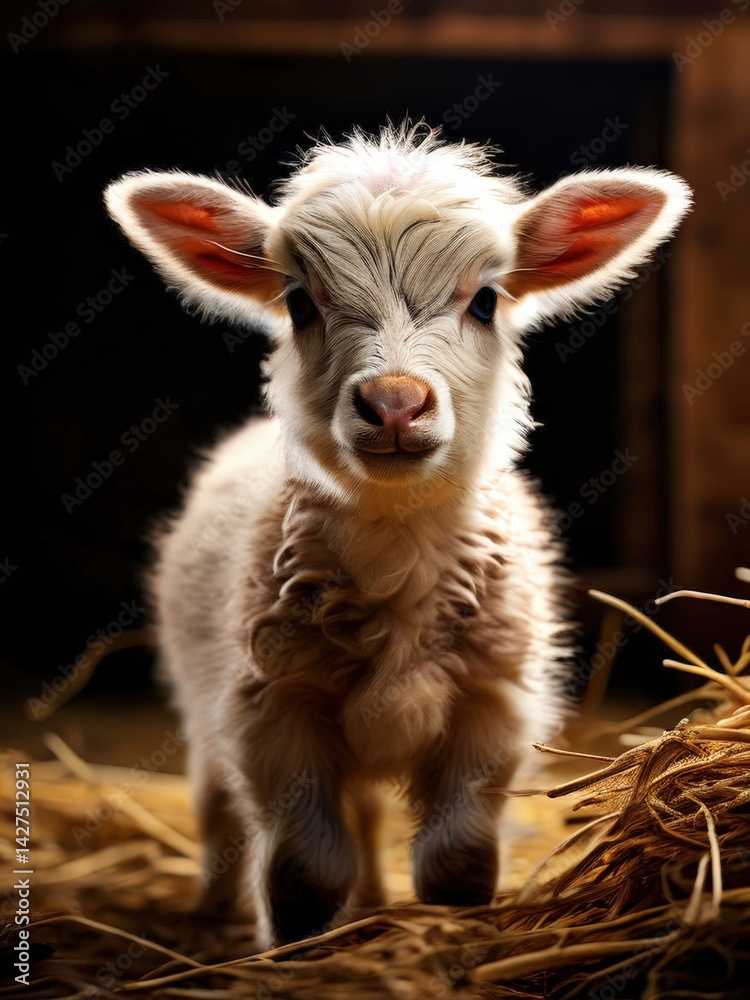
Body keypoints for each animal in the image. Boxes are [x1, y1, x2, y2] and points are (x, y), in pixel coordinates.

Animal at [103, 122, 691, 948]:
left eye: (485, 300)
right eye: (299, 303)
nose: (393, 404)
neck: (398, 534)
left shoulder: (491, 705)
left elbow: (457, 863)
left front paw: (446, 923)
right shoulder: (272, 704)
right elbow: (305, 872)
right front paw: (295, 941)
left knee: (367, 814)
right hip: (202, 692)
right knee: (217, 804)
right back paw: (215, 906)